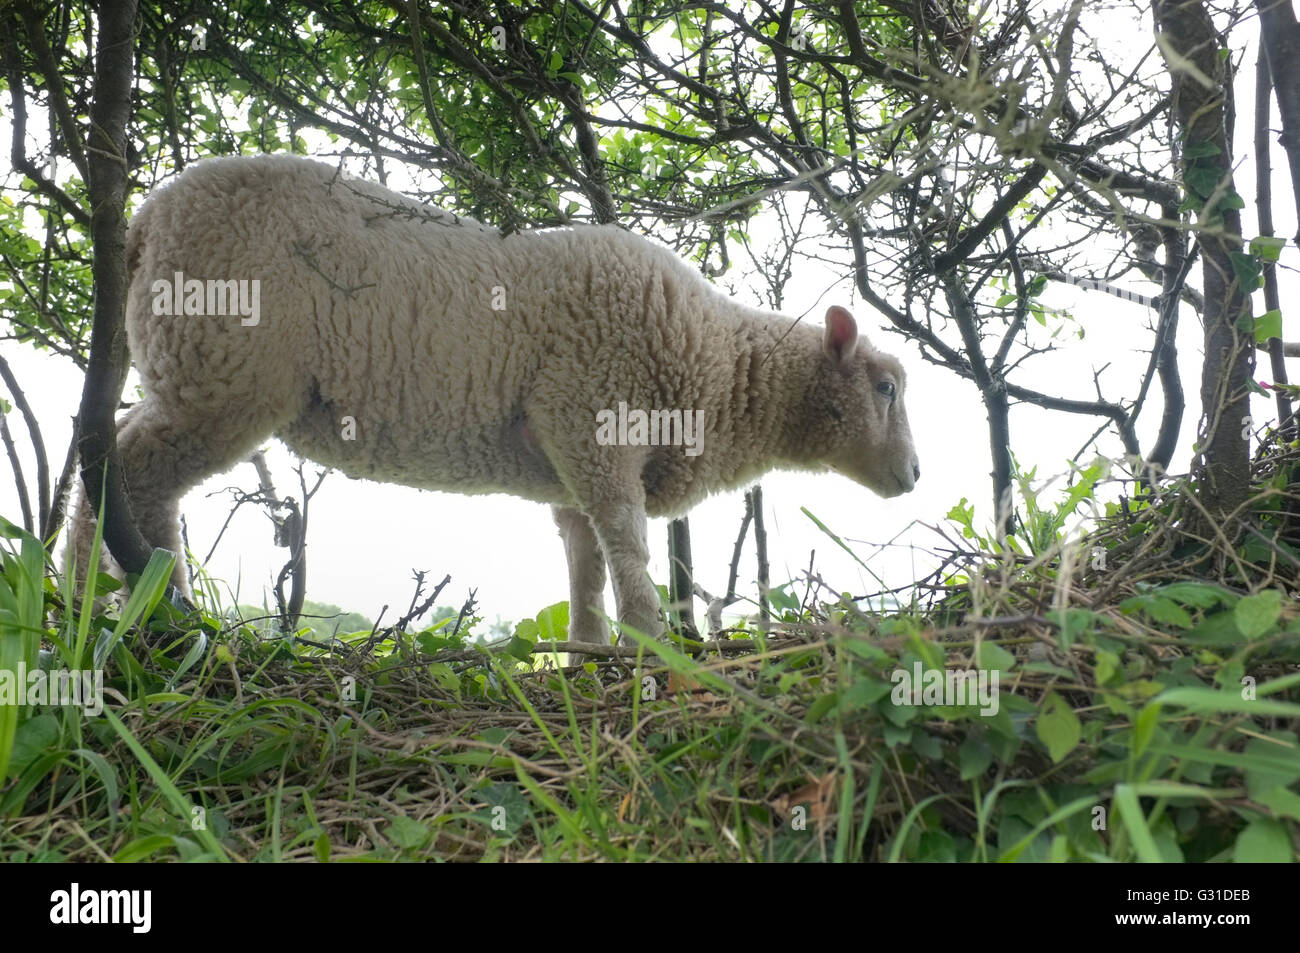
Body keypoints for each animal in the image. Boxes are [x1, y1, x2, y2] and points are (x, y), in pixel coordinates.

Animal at [73, 154, 925, 647]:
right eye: (885, 387)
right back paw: (156, 604)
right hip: (226, 365)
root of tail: (144, 223)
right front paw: (652, 648)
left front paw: (591, 656)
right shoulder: (593, 413)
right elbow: (628, 545)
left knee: (110, 462)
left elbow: (585, 566)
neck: (718, 362)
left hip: (192, 365)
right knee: (135, 471)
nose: (916, 475)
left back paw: (101, 601)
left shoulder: (571, 465)